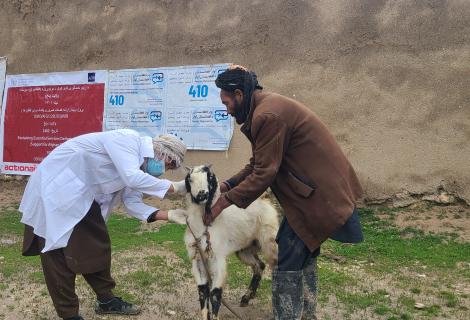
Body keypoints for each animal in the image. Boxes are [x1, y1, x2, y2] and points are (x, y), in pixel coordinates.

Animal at [169, 166, 280, 318]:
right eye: (189, 179)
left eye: (210, 177)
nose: (202, 195)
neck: (204, 228)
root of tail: (265, 200)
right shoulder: (198, 260)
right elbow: (203, 292)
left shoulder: (218, 259)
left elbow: (215, 294)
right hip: (244, 249)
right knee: (259, 265)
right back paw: (246, 298)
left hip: (270, 240)